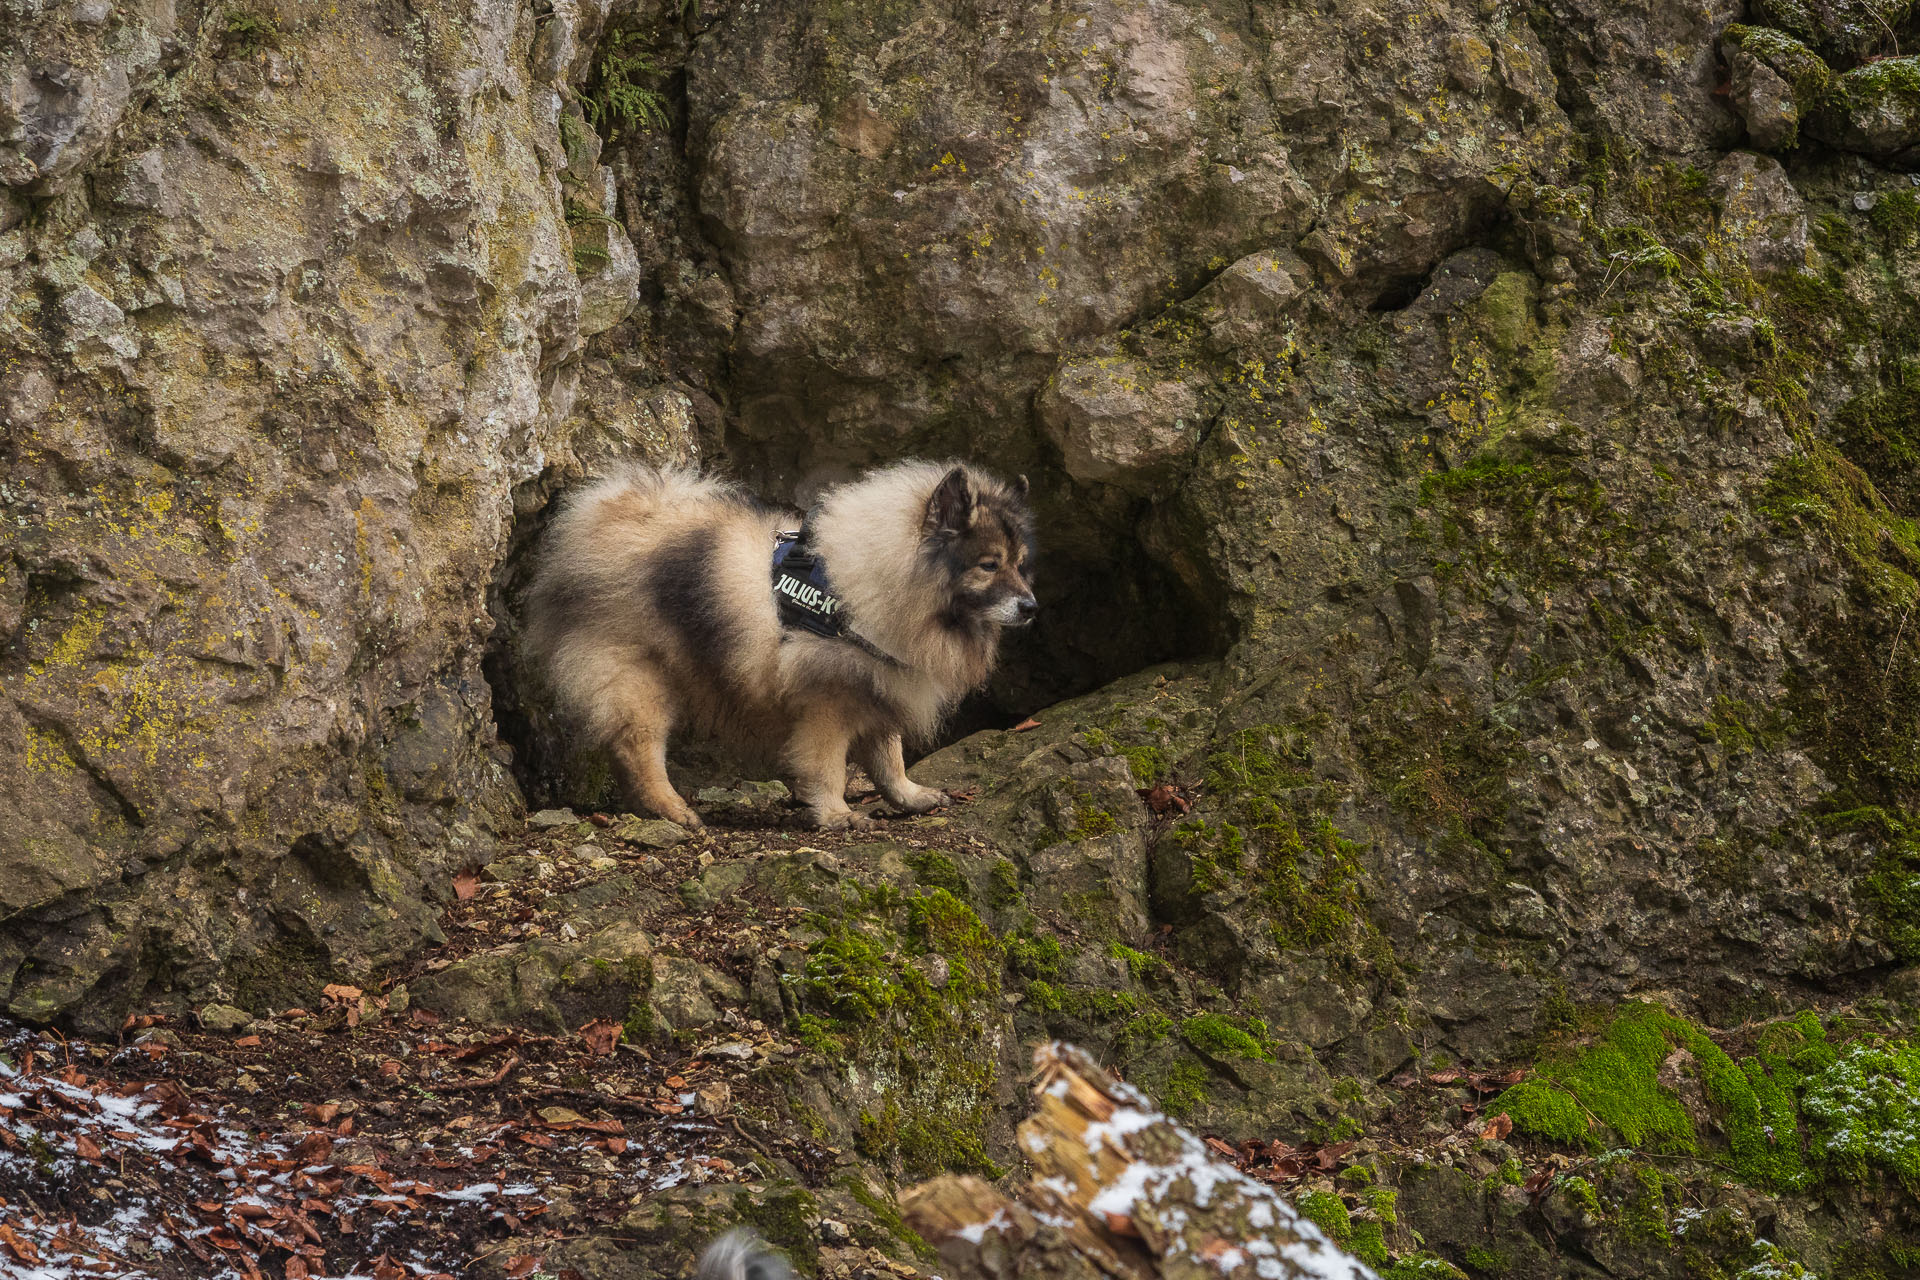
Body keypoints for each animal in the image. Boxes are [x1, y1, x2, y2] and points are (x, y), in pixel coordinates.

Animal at [526, 460, 1036, 832]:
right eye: (989, 565)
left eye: (1019, 564)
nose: (1032, 606)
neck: (873, 585)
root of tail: (600, 522)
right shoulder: (829, 703)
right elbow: (827, 765)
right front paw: (836, 814)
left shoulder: (879, 685)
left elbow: (888, 760)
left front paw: (909, 797)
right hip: (639, 680)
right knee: (639, 747)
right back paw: (673, 809)